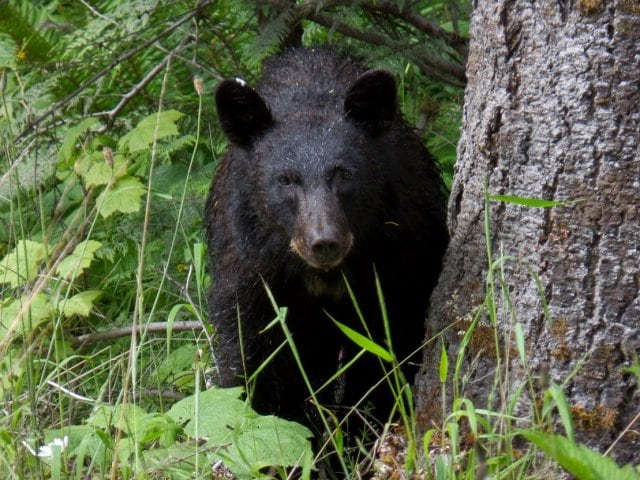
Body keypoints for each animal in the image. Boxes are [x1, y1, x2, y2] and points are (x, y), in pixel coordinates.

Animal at [204, 47, 444, 426]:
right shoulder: (254, 274)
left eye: (344, 173)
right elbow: (254, 357)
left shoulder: (401, 262)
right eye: (285, 179)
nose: (324, 241)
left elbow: (389, 351)